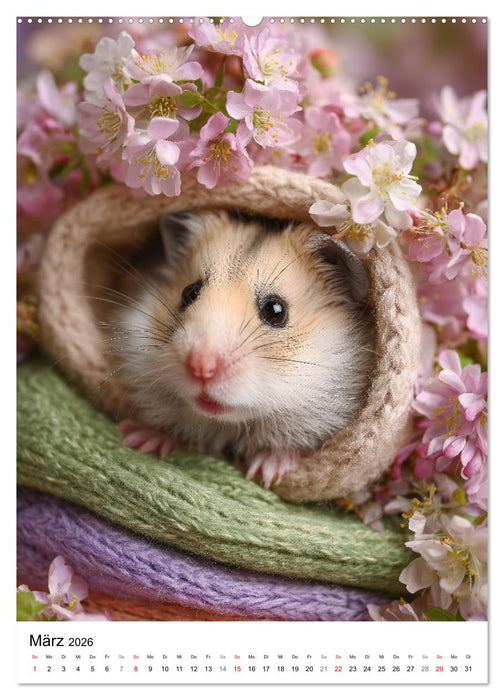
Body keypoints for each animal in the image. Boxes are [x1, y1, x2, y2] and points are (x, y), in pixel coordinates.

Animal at [109, 209, 375, 487]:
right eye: (189, 293)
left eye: (276, 310)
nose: (201, 367)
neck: (228, 423)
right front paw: (137, 439)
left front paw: (267, 471)